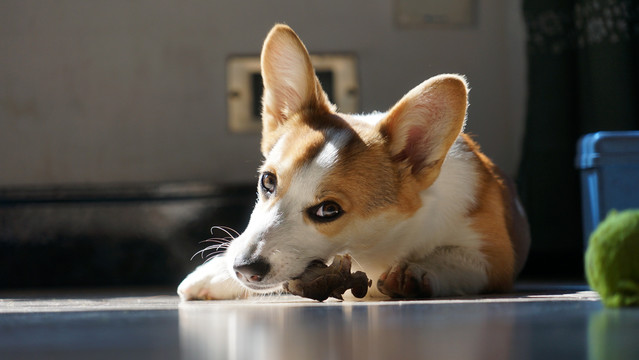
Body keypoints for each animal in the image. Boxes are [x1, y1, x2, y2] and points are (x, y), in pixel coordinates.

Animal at [179, 25, 528, 300]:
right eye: (268, 181)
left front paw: (416, 271)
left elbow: (452, 259)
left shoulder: (494, 259)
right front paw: (214, 272)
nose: (244, 268)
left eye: (329, 210)